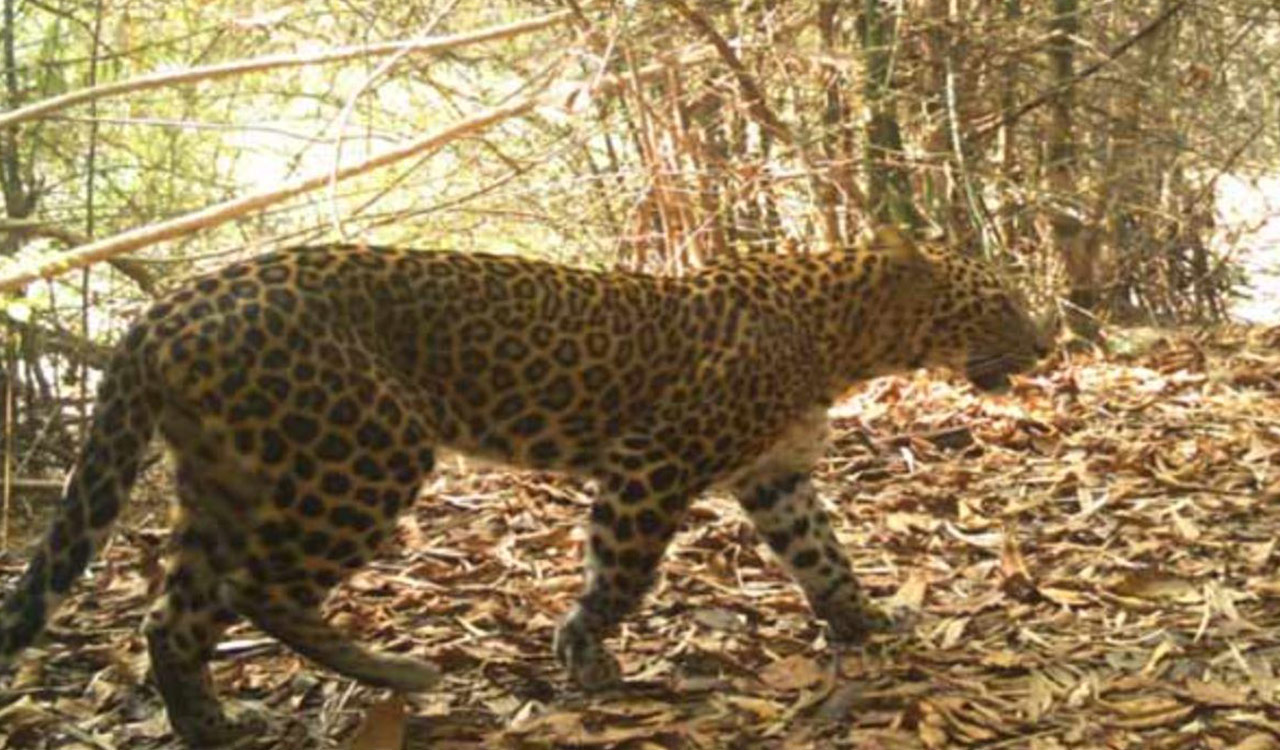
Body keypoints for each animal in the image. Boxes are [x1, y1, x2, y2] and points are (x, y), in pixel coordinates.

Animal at [0, 227, 1049, 746]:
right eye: (997, 301)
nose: (1047, 344)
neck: (843, 338)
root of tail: (162, 309)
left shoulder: (777, 476)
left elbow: (825, 559)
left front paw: (870, 624)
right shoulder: (651, 463)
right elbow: (621, 572)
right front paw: (583, 655)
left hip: (228, 475)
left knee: (174, 613)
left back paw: (214, 726)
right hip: (363, 452)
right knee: (256, 586)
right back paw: (397, 674)